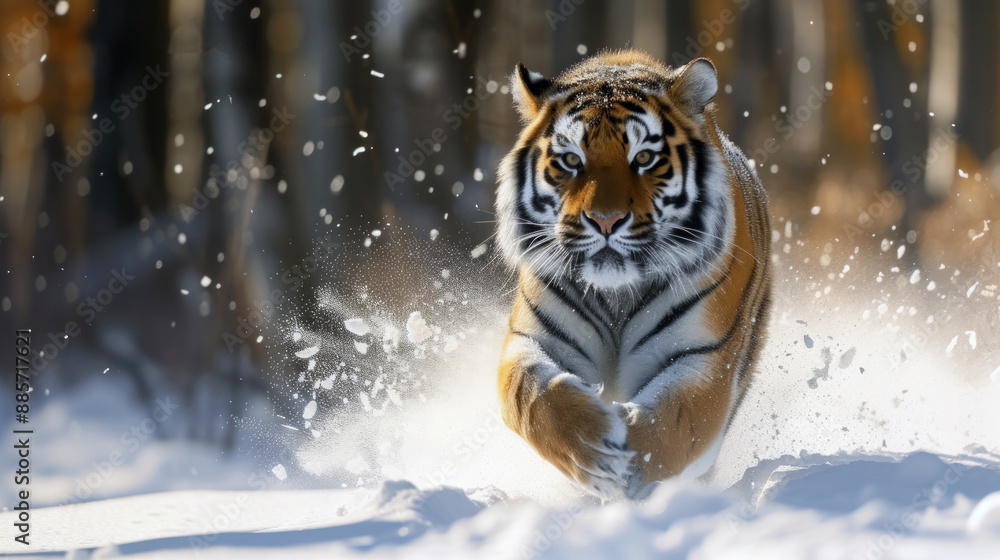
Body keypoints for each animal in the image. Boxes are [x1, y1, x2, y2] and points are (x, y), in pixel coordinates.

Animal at [494, 49, 772, 500]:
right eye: (571, 159)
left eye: (644, 158)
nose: (605, 220)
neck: (616, 295)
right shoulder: (535, 338)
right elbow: (533, 395)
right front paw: (593, 449)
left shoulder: (706, 354)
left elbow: (678, 419)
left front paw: (634, 469)